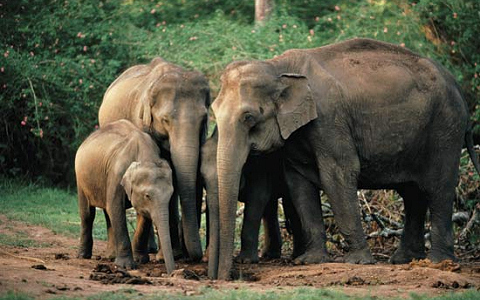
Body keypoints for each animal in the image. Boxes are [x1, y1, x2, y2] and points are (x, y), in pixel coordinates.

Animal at [77, 118, 176, 274]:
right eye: (147, 196)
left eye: (171, 194)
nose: (172, 272)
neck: (145, 155)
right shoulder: (116, 174)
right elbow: (116, 208)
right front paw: (127, 266)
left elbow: (143, 215)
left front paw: (140, 260)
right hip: (81, 178)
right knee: (88, 214)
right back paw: (83, 255)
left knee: (107, 213)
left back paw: (111, 256)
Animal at [98, 57, 209, 262]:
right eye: (165, 120)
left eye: (204, 119)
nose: (194, 256)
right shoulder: (141, 120)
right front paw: (166, 256)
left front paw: (174, 254)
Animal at [210, 38, 480, 280]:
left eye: (249, 118)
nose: (227, 278)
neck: (278, 67)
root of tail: (458, 88)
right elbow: (298, 183)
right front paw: (310, 261)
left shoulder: (329, 119)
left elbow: (338, 175)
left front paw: (358, 262)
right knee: (412, 193)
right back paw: (405, 260)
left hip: (445, 128)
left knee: (439, 188)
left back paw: (438, 262)